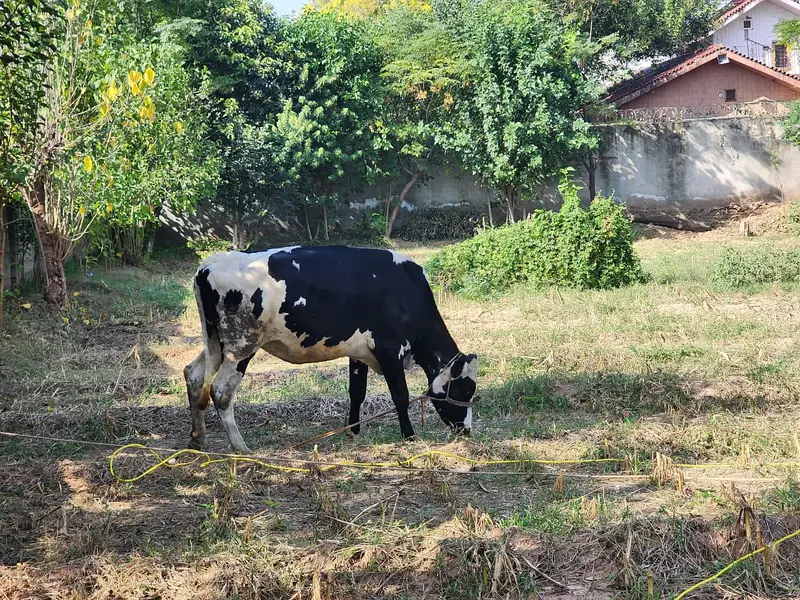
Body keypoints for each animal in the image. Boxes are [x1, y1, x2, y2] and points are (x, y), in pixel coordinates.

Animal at [183, 245, 479, 453]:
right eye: (465, 390)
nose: (466, 431)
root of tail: (210, 264)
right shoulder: (390, 349)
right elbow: (401, 396)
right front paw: (410, 436)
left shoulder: (359, 352)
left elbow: (357, 393)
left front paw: (353, 431)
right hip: (242, 345)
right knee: (220, 390)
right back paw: (240, 446)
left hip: (215, 342)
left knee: (194, 375)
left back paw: (197, 438)